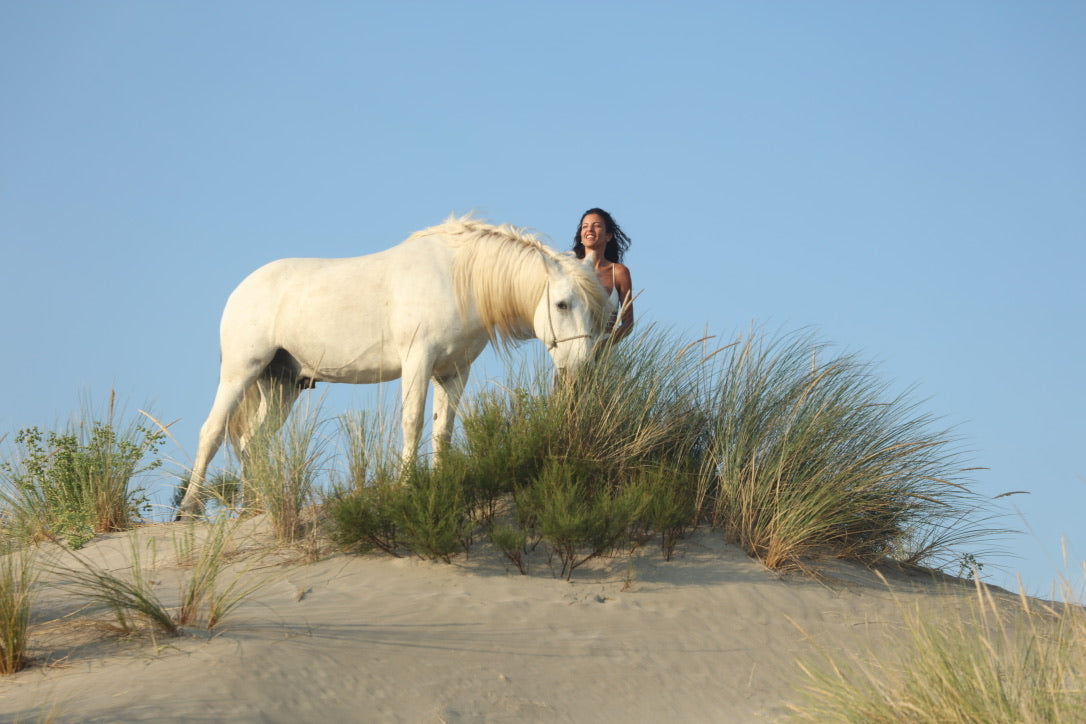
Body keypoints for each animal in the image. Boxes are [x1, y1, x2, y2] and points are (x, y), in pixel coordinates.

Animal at [176, 215, 612, 515]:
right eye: (562, 304)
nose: (582, 366)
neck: (458, 279)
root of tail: (243, 288)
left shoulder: (453, 371)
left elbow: (442, 430)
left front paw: (437, 484)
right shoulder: (418, 360)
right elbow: (413, 422)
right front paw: (406, 487)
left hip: (282, 385)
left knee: (254, 442)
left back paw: (256, 509)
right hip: (240, 372)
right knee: (212, 433)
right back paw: (189, 510)